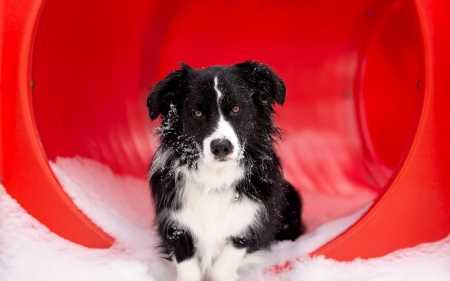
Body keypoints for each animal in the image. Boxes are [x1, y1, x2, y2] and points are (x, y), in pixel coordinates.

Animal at [148, 60, 306, 278]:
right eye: (197, 113)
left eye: (236, 109)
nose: (221, 147)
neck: (215, 177)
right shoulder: (175, 224)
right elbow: (188, 267)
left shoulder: (251, 225)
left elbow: (224, 265)